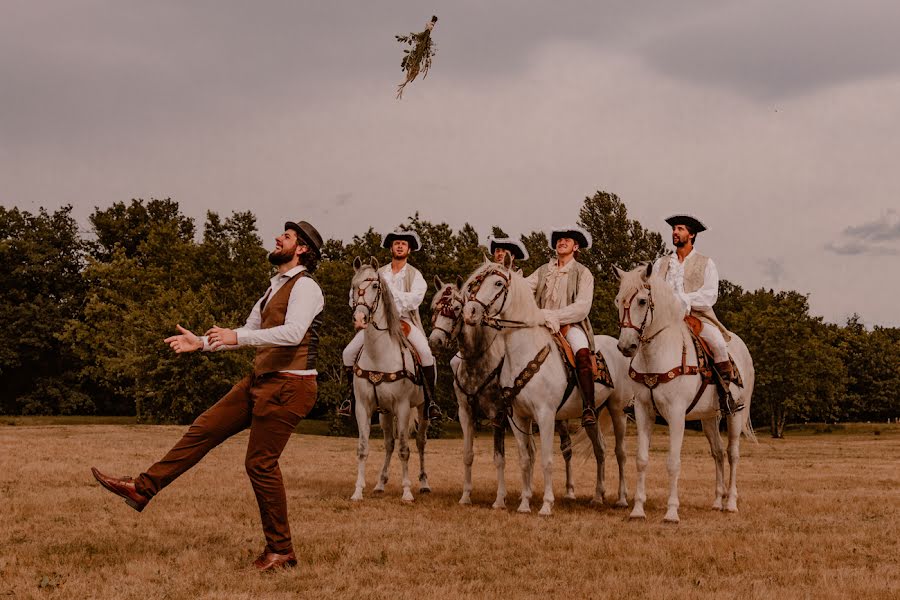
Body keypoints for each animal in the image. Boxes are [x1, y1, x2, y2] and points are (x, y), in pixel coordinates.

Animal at [348, 256, 428, 502]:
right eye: (354, 286)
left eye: (375, 286)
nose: (360, 318)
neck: (379, 355)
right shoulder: (364, 407)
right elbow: (363, 448)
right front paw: (358, 490)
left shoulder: (402, 407)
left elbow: (405, 449)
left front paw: (407, 492)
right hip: (385, 413)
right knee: (389, 443)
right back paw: (380, 483)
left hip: (421, 409)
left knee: (420, 442)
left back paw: (423, 483)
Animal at [460, 258, 608, 516]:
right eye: (475, 283)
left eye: (498, 283)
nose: (470, 312)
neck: (524, 351)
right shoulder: (517, 417)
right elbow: (525, 458)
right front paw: (524, 503)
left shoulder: (545, 415)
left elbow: (547, 460)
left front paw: (547, 505)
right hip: (594, 415)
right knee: (600, 450)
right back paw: (598, 496)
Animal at [616, 264, 756, 524]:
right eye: (618, 300)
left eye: (642, 301)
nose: (626, 346)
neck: (656, 357)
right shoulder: (642, 411)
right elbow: (641, 460)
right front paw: (638, 509)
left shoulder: (676, 414)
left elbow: (673, 462)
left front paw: (671, 512)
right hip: (709, 417)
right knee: (718, 452)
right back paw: (717, 502)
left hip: (735, 414)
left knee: (732, 454)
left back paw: (731, 503)